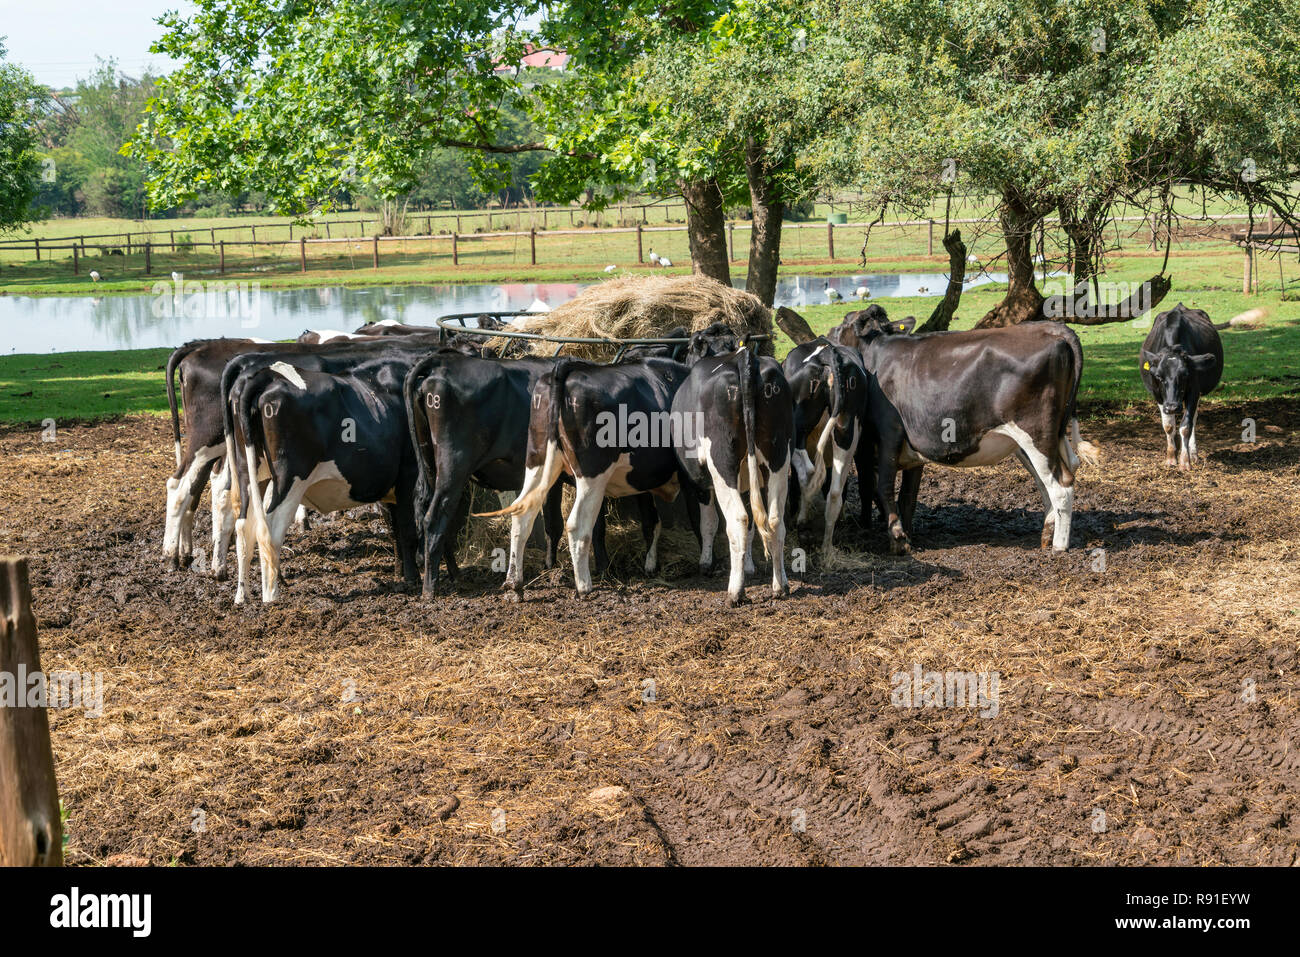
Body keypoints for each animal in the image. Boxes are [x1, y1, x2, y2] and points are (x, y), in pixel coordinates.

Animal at [676, 340, 795, 600]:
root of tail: (744, 357)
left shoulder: (697, 479)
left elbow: (708, 522)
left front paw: (706, 563)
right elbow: (752, 525)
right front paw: (750, 565)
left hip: (722, 463)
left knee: (738, 520)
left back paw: (735, 592)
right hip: (778, 456)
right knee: (774, 520)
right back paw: (780, 585)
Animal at [780, 338, 863, 556]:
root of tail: (830, 354)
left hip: (798, 424)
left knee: (807, 470)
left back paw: (802, 520)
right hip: (846, 431)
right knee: (834, 492)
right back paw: (826, 547)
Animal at [863, 323, 1097, 553]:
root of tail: (1054, 328)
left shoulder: (889, 435)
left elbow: (884, 488)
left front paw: (898, 540)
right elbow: (906, 495)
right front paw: (907, 537)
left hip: (1036, 433)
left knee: (1061, 486)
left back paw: (1059, 546)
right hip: (1045, 438)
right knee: (1055, 475)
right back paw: (1047, 535)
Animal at [1144, 302, 1222, 468]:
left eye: (1185, 374)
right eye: (1159, 376)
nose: (1173, 406)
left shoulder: (1194, 392)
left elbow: (1186, 426)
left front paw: (1185, 461)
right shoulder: (1158, 395)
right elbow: (1168, 426)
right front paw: (1171, 457)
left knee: (1193, 419)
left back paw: (1192, 453)